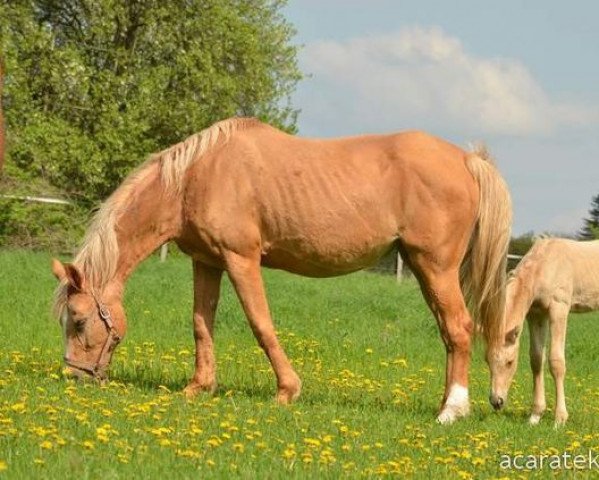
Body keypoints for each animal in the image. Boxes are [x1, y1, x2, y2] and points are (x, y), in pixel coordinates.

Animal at [51, 117, 510, 424]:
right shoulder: (207, 261)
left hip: (435, 267)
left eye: (78, 320)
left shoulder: (241, 259)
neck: (197, 176)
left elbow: (261, 324)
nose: (74, 377)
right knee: (450, 334)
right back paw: (446, 404)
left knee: (460, 328)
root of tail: (468, 160)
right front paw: (199, 387)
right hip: (422, 268)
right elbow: (201, 324)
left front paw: (287, 391)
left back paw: (452, 410)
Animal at [488, 238, 599, 426]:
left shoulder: (558, 309)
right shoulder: (536, 315)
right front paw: (535, 416)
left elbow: (556, 362)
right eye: (487, 361)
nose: (497, 401)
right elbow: (536, 359)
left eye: (510, 362)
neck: (545, 266)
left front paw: (560, 419)